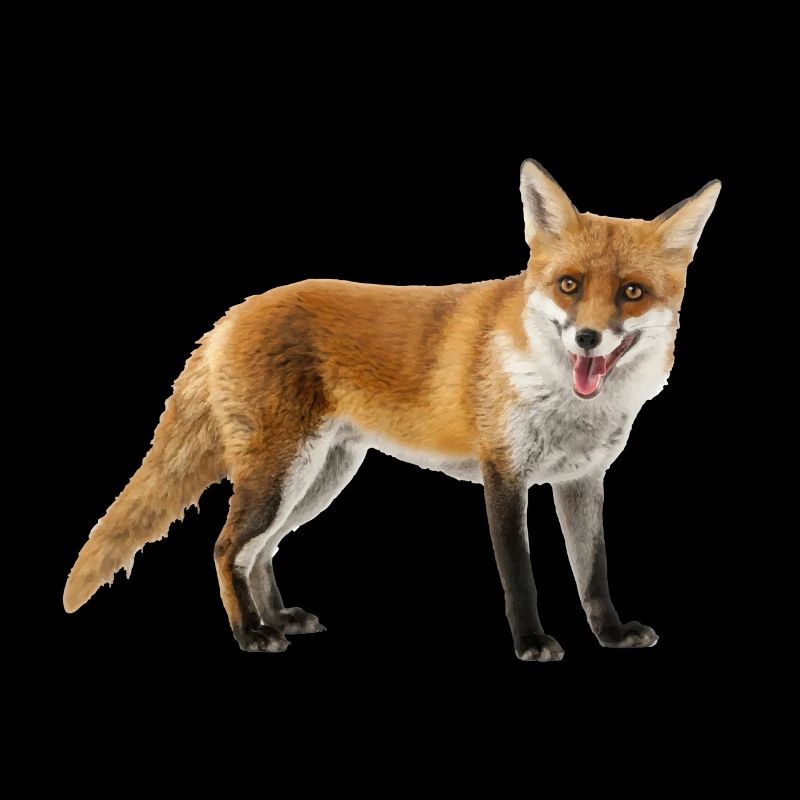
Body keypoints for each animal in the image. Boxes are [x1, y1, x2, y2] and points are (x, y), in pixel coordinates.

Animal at [64, 160, 720, 661]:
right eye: (569, 285)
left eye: (631, 293)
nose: (587, 338)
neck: (562, 397)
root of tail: (232, 313)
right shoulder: (503, 475)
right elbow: (520, 576)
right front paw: (532, 643)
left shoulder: (582, 479)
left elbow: (594, 573)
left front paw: (610, 635)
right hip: (282, 475)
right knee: (227, 549)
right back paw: (251, 633)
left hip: (319, 477)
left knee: (261, 551)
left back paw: (278, 618)